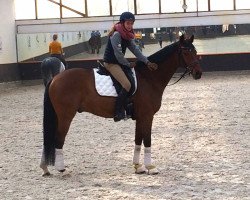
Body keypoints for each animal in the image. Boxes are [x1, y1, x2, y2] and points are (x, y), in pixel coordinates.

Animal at [40, 35, 202, 176]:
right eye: (186, 52)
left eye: (195, 51)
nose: (198, 73)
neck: (149, 78)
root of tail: (55, 79)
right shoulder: (147, 116)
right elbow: (147, 140)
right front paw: (151, 167)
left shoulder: (140, 117)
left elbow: (138, 140)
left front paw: (138, 166)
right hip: (65, 116)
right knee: (58, 139)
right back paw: (61, 169)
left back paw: (45, 168)